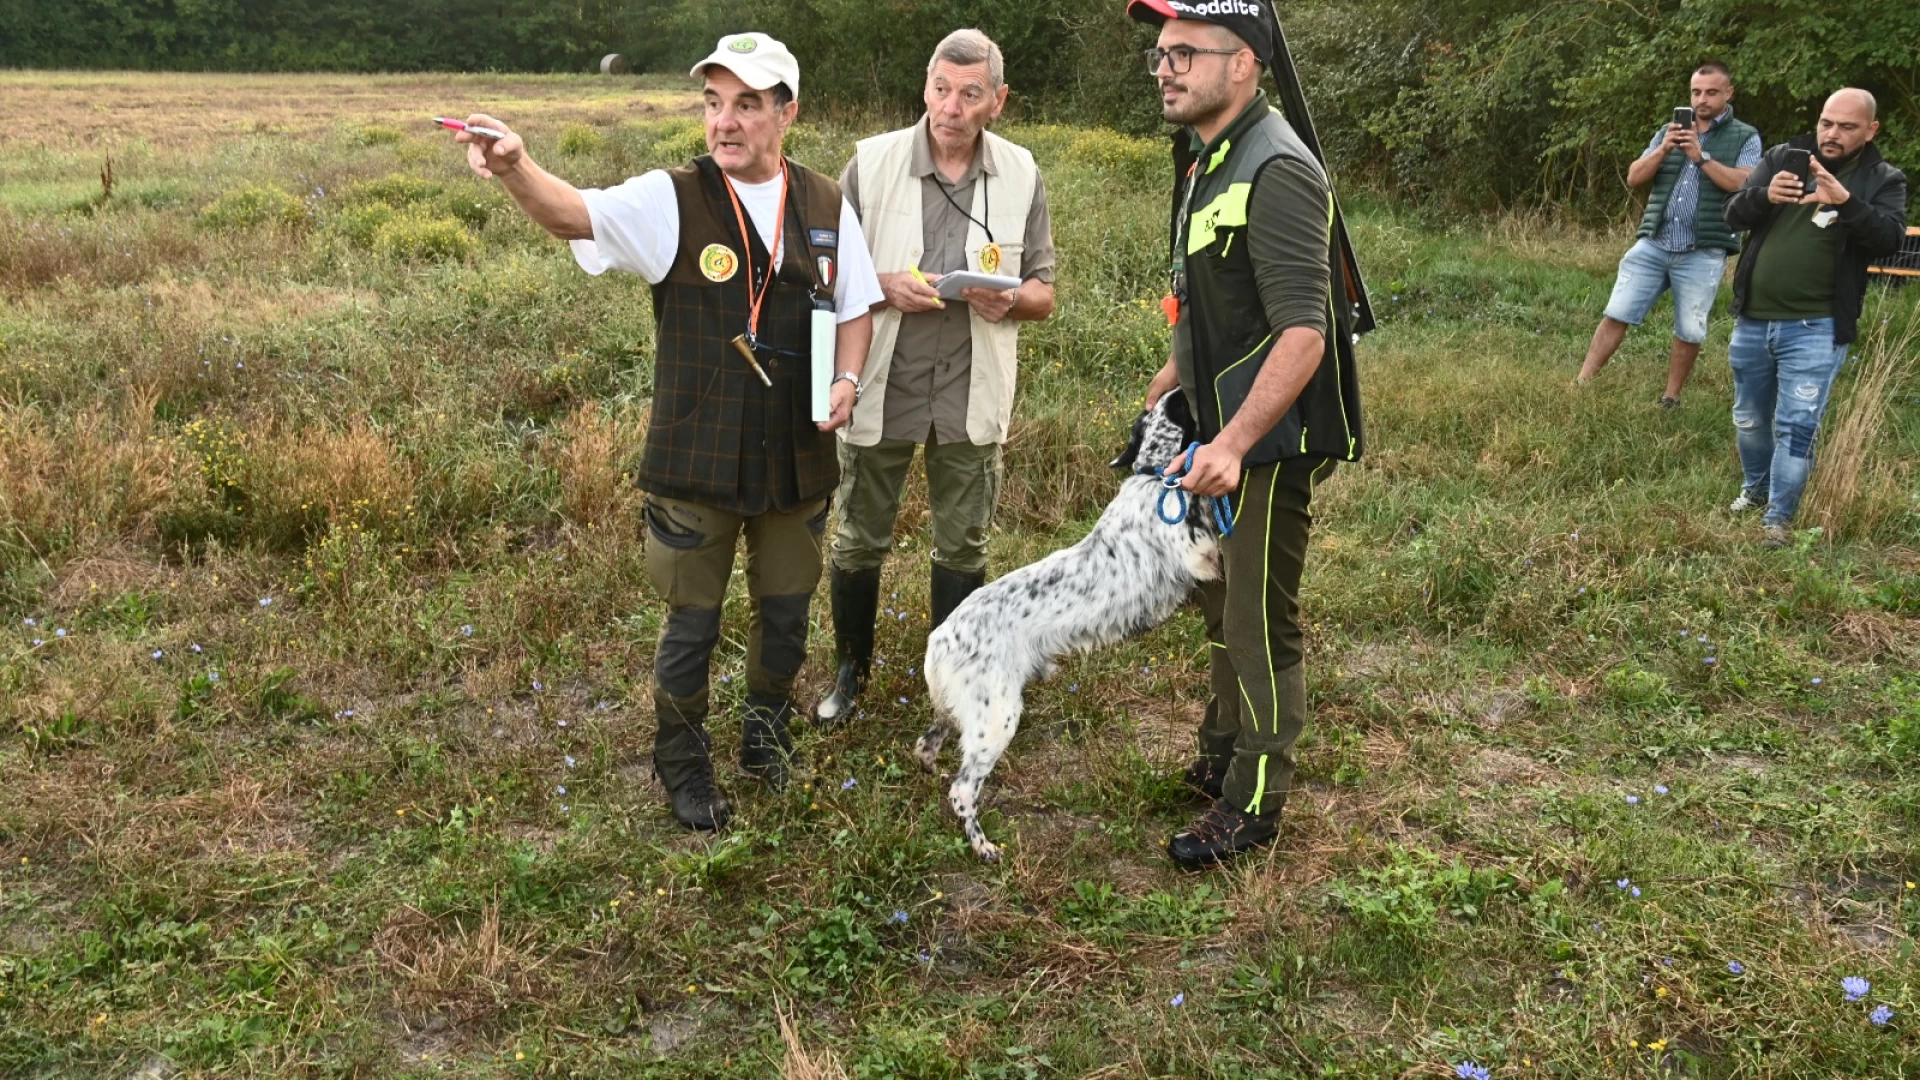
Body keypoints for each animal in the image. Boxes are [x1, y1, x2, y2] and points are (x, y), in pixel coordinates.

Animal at [917, 388, 1221, 857]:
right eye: (1180, 406)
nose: (1175, 388)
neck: (1155, 478)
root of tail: (941, 639)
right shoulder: (1196, 556)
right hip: (998, 716)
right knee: (963, 790)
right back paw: (984, 846)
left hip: (960, 711)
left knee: (926, 744)